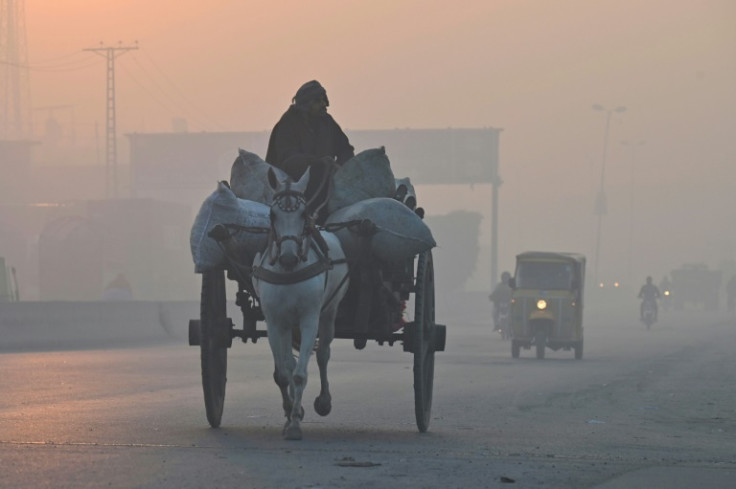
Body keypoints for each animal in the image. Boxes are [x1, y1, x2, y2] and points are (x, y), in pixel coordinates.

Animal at [253, 166, 350, 440]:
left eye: (303, 214)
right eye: (272, 214)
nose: (287, 257)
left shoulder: (309, 319)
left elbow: (298, 374)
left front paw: (295, 423)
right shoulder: (275, 322)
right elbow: (284, 373)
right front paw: (290, 414)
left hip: (329, 312)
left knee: (323, 353)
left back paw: (324, 400)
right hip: (287, 324)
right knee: (289, 361)